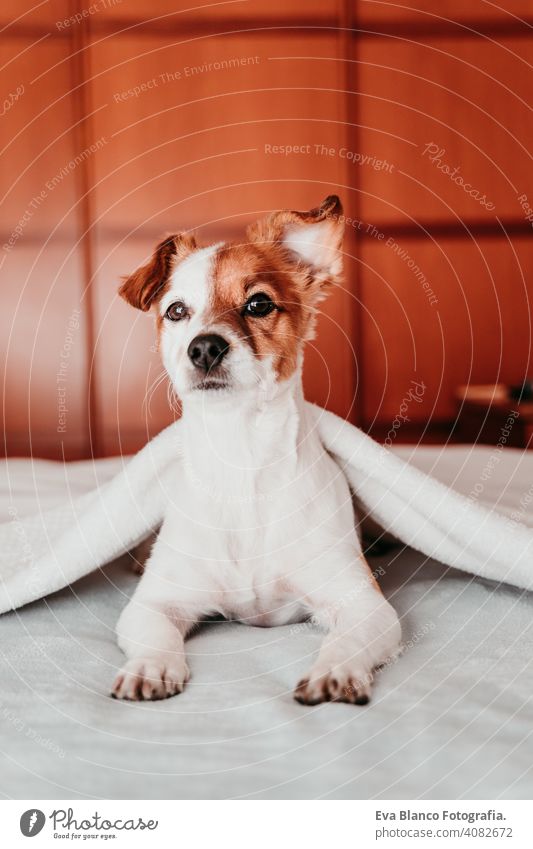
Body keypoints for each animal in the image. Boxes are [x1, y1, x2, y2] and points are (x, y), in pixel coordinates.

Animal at [113, 197, 404, 704]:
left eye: (259, 304)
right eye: (176, 311)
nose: (204, 347)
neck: (241, 454)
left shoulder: (364, 604)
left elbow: (347, 640)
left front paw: (336, 670)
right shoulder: (155, 602)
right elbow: (156, 634)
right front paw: (149, 666)